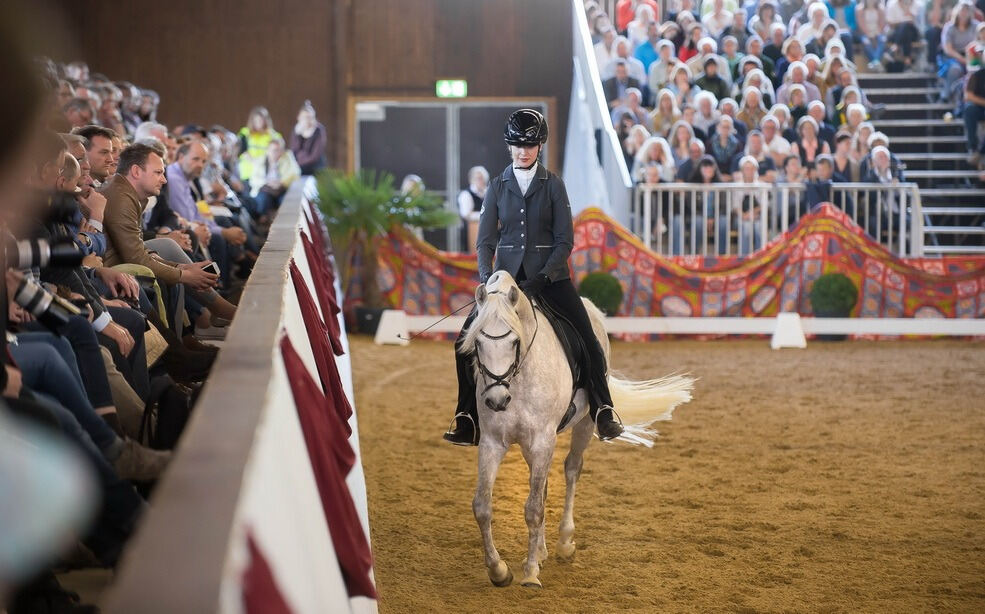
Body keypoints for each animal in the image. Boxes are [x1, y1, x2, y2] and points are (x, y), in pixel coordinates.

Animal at [460, 272, 692, 588]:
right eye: (478, 343)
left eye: (515, 341)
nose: (497, 401)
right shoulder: (493, 443)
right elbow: (483, 506)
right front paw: (499, 571)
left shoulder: (542, 440)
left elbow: (533, 509)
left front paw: (530, 574)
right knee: (543, 486)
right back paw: (542, 551)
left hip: (583, 424)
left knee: (571, 470)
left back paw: (563, 543)